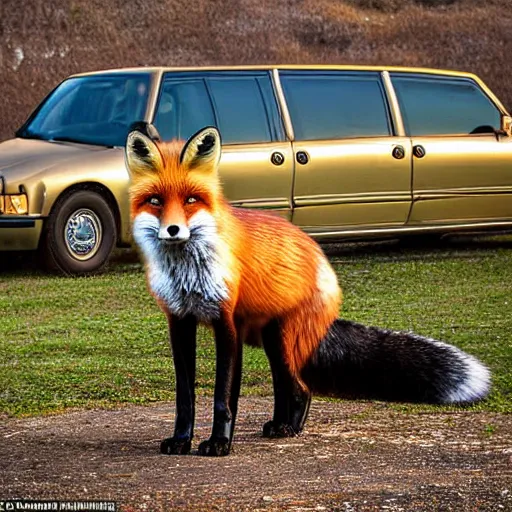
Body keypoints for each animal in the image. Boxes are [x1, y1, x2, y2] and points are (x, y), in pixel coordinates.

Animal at [126, 123, 490, 456]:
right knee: (284, 386)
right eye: (156, 201)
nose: (173, 230)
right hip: (270, 339)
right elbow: (185, 396)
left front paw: (219, 444)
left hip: (282, 339)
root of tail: (316, 249)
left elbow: (222, 396)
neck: (186, 273)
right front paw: (181, 440)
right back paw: (280, 424)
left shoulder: (225, 321)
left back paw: (291, 429)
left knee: (301, 388)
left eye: (191, 200)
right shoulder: (180, 321)